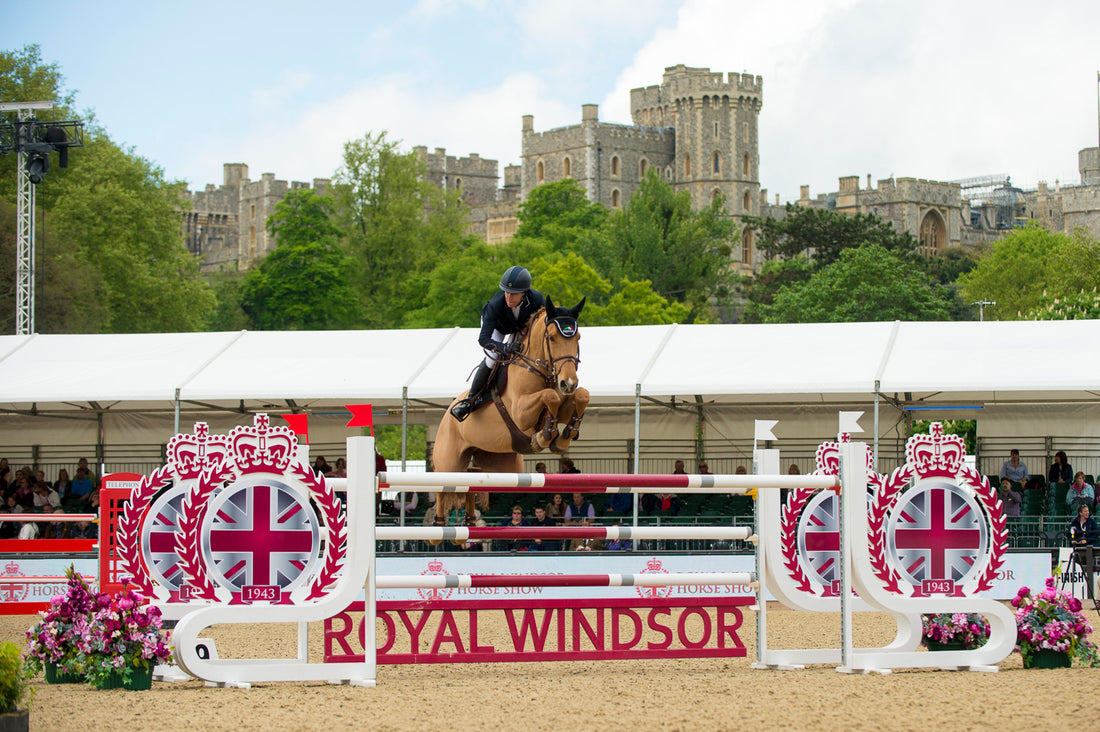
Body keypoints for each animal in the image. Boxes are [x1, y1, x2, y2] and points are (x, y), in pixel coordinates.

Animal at [426, 295, 589, 539]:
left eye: (577, 337)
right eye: (551, 338)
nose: (568, 382)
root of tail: (446, 414)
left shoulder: (564, 401)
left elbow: (581, 396)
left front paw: (563, 436)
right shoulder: (521, 412)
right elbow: (550, 396)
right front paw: (545, 435)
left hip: (502, 466)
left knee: (470, 482)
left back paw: (470, 522)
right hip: (450, 460)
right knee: (442, 485)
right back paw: (437, 530)